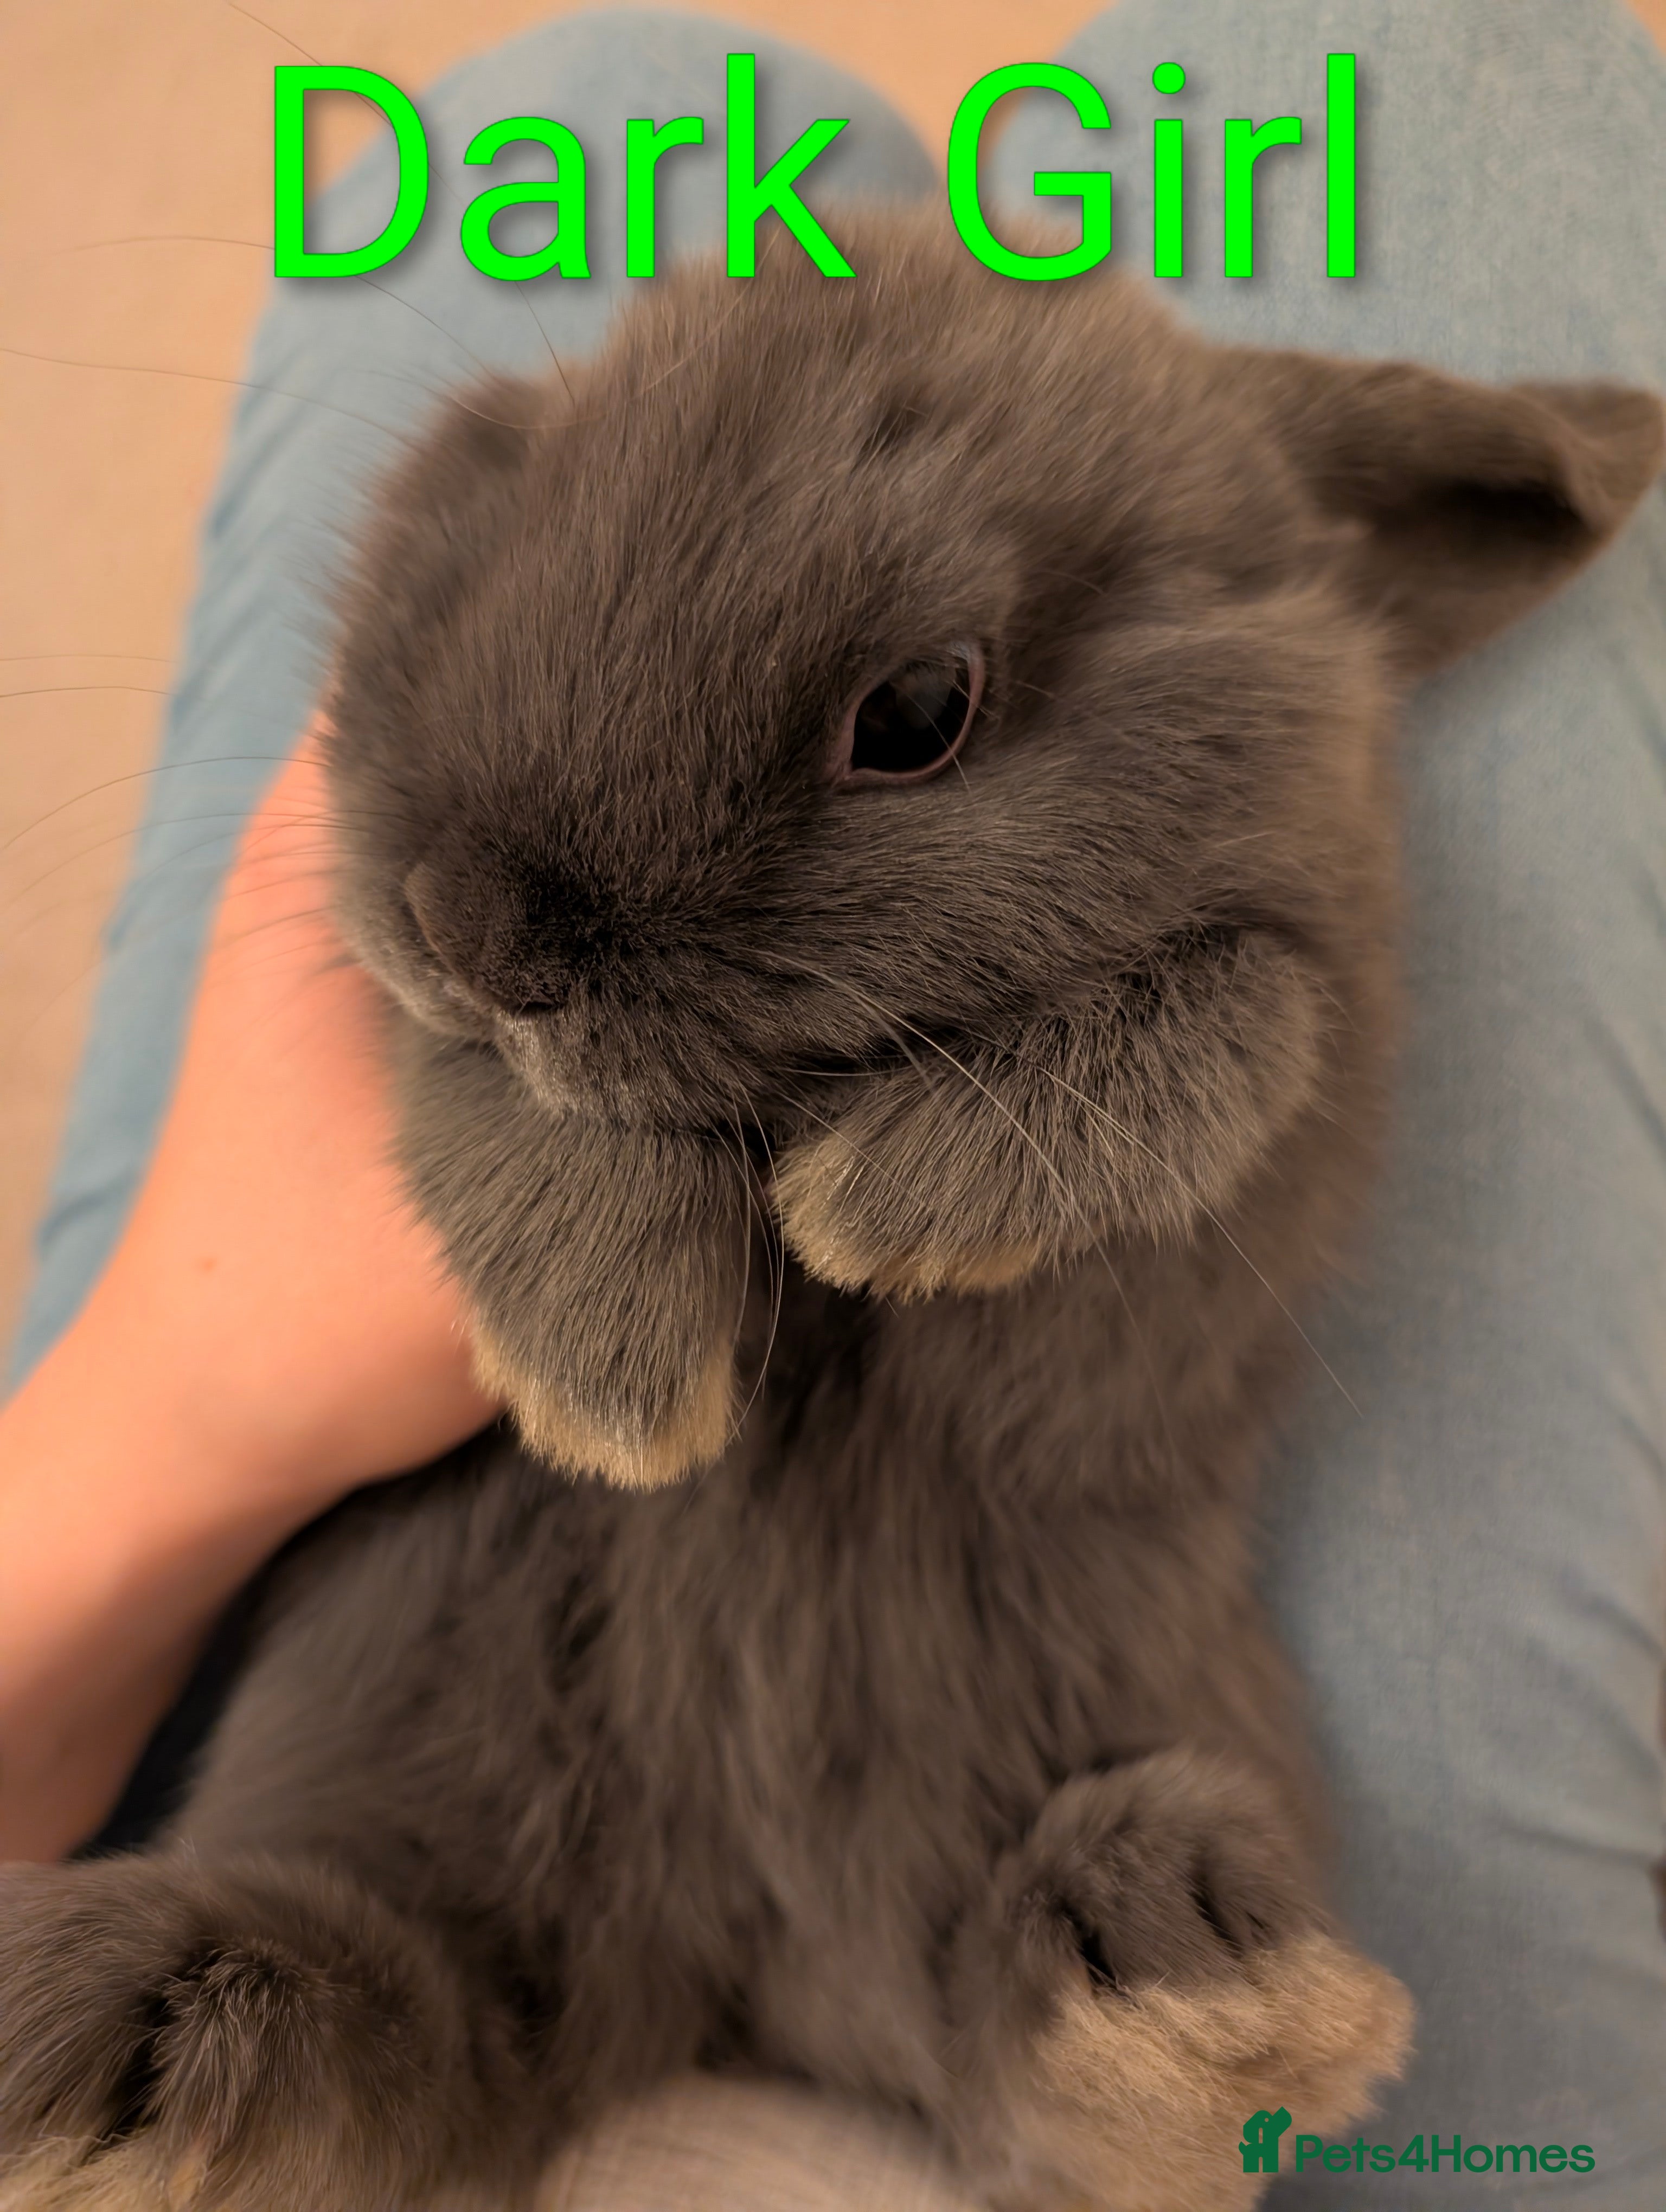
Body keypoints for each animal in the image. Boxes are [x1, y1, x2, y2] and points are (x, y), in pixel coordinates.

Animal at [1, 203, 1660, 2212]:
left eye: (920, 713)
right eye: (546, 462)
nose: (474, 924)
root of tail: (737, 1964)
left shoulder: (1316, 992)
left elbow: (1236, 1012)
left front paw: (880, 1207)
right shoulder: (368, 977)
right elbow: (472, 1091)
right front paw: (621, 1376)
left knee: (1026, 2078)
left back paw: (1175, 1971)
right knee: (420, 2021)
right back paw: (121, 2041)